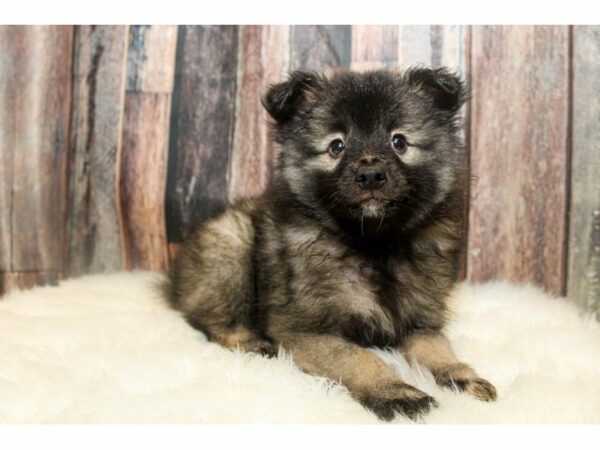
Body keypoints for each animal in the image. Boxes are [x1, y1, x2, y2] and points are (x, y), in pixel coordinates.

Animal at [164, 67, 496, 422]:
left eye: (399, 142)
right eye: (336, 146)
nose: (370, 174)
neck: (374, 243)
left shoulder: (419, 321)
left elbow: (437, 349)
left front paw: (462, 376)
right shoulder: (305, 330)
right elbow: (356, 357)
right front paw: (394, 392)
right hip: (231, 247)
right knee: (212, 322)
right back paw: (253, 343)